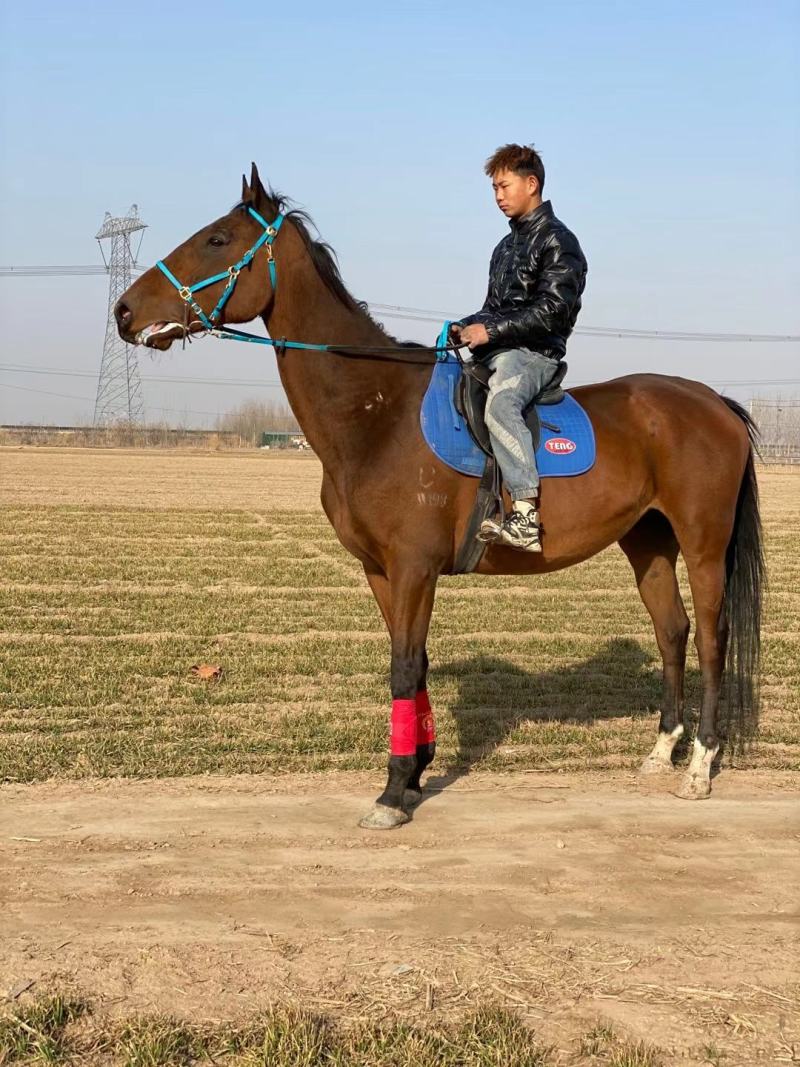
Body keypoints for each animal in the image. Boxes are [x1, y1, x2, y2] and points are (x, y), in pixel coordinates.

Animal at [115, 163, 764, 830]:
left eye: (217, 239)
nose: (124, 310)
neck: (378, 412)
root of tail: (714, 402)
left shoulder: (413, 569)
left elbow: (403, 669)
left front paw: (392, 792)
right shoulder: (381, 572)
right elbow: (416, 663)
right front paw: (416, 772)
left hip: (703, 544)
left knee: (710, 638)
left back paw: (699, 768)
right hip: (648, 541)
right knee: (672, 631)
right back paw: (662, 753)